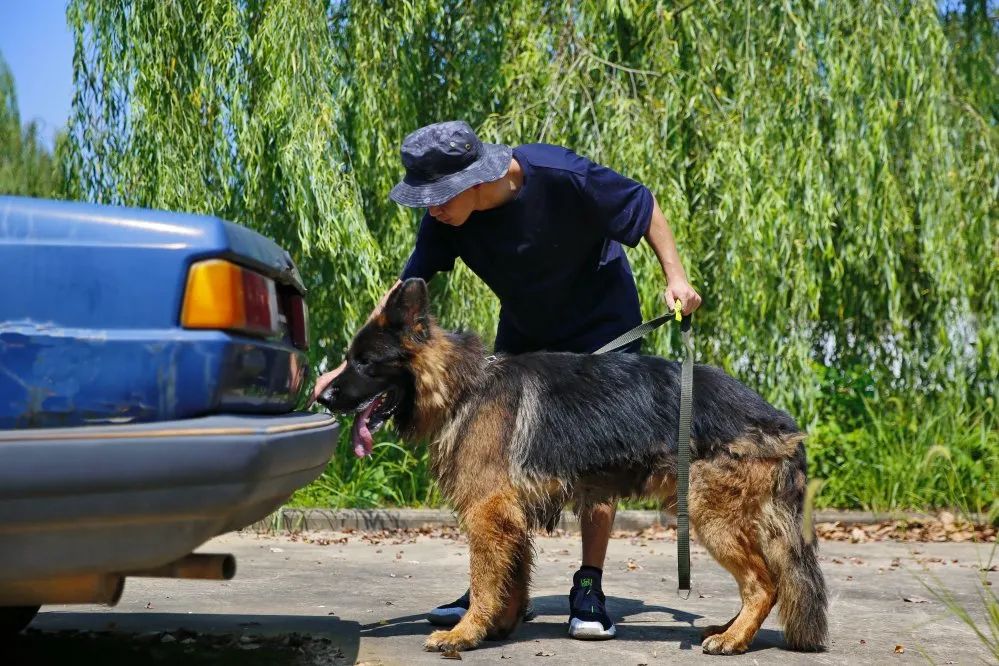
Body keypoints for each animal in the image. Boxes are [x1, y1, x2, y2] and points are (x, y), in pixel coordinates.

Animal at [320, 278, 828, 652]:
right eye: (348, 359)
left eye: (365, 363)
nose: (322, 395)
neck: (463, 385)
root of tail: (781, 421)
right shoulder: (509, 518)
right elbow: (512, 577)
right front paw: (499, 627)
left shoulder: (488, 513)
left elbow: (484, 581)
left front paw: (465, 633)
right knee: (769, 579)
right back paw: (728, 628)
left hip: (709, 517)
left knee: (764, 584)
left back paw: (734, 638)